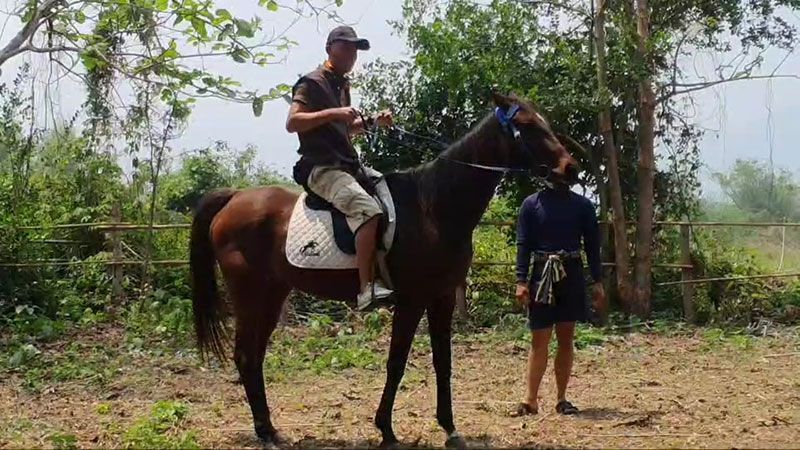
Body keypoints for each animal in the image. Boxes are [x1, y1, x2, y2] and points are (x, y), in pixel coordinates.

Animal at [191, 93, 580, 448]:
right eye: (527, 125)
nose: (570, 169)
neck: (432, 207)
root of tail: (234, 198)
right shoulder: (411, 301)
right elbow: (396, 363)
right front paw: (387, 430)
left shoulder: (441, 298)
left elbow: (443, 361)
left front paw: (449, 428)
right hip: (249, 295)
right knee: (245, 356)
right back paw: (265, 433)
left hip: (272, 294)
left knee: (254, 357)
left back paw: (269, 429)